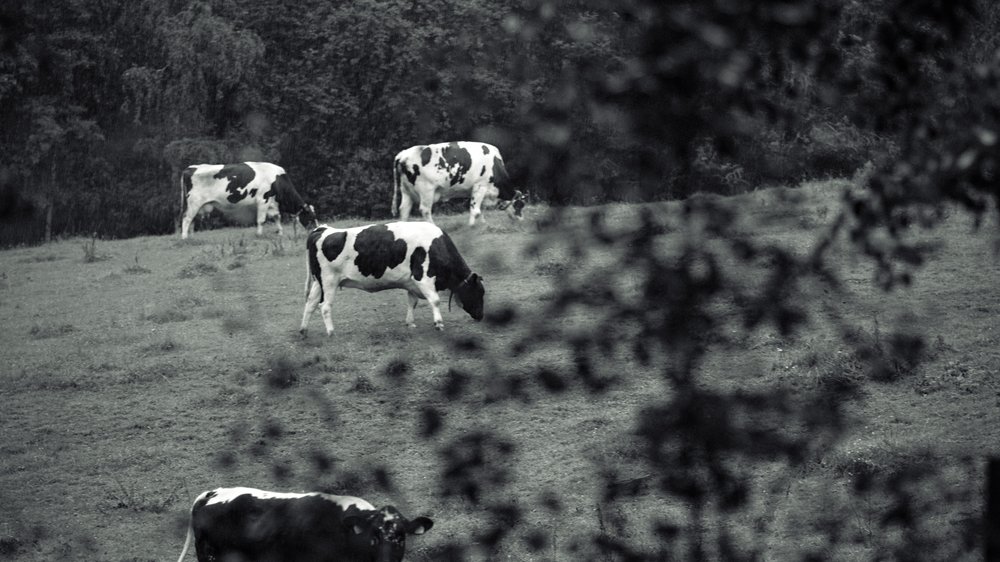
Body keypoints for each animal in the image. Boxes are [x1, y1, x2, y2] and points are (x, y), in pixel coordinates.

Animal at [181, 161, 316, 237]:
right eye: (311, 218)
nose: (315, 231)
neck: (277, 180)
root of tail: (189, 168)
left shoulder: (273, 203)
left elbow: (277, 217)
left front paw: (280, 233)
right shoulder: (263, 200)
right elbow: (261, 220)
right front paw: (259, 234)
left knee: (192, 220)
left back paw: (191, 237)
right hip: (194, 202)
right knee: (186, 219)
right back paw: (184, 237)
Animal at [300, 219, 484, 332]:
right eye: (479, 293)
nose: (481, 316)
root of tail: (322, 229)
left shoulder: (412, 283)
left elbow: (412, 302)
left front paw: (410, 323)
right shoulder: (423, 278)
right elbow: (435, 300)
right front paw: (438, 324)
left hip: (318, 282)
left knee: (310, 303)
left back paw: (304, 330)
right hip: (329, 281)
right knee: (324, 306)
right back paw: (331, 331)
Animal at [388, 140, 520, 225]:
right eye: (521, 205)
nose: (520, 220)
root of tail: (403, 154)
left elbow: (480, 208)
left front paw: (483, 224)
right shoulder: (480, 186)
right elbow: (476, 210)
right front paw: (472, 226)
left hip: (406, 190)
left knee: (404, 209)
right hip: (426, 190)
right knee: (424, 210)